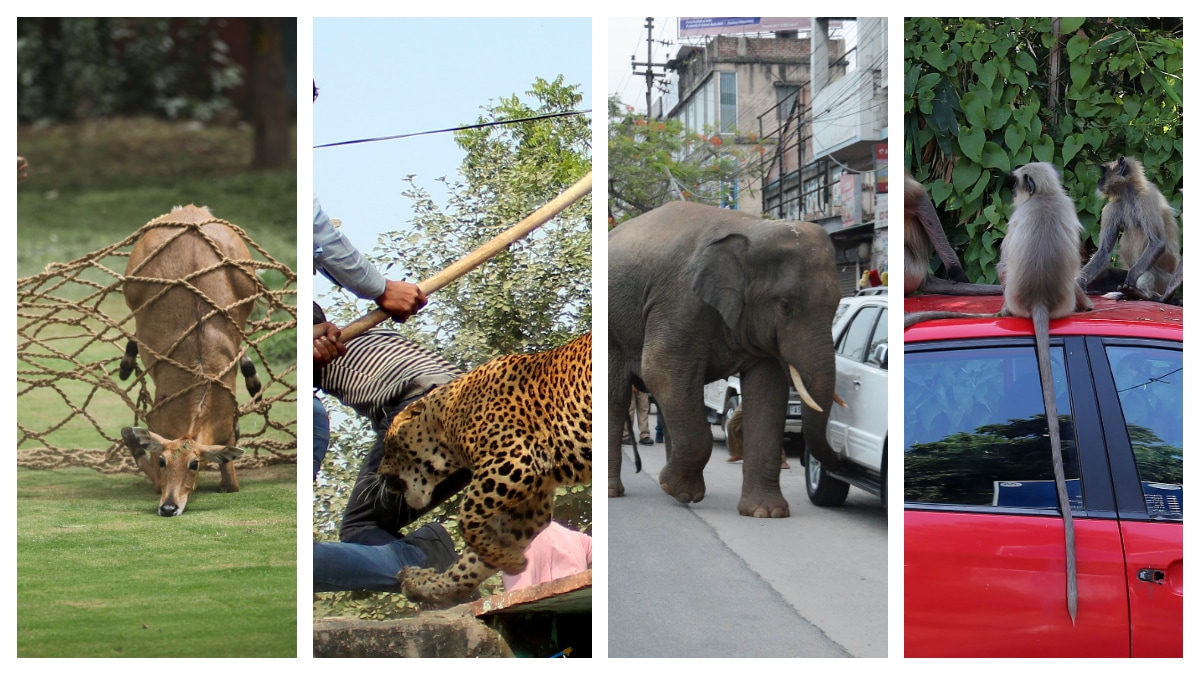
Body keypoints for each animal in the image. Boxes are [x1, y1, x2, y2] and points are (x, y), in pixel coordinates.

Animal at [377, 332, 592, 607]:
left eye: (386, 447)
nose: (379, 473)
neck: (445, 420)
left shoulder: (514, 459)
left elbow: (466, 518)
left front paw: (513, 563)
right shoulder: (528, 507)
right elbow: (469, 564)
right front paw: (424, 585)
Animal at [608, 201, 841, 518]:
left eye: (838, 304)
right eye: (785, 306)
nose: (840, 457)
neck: (751, 228)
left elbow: (768, 391)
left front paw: (767, 513)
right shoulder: (679, 302)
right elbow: (659, 371)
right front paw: (674, 485)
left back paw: (679, 495)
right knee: (618, 396)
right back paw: (619, 492)